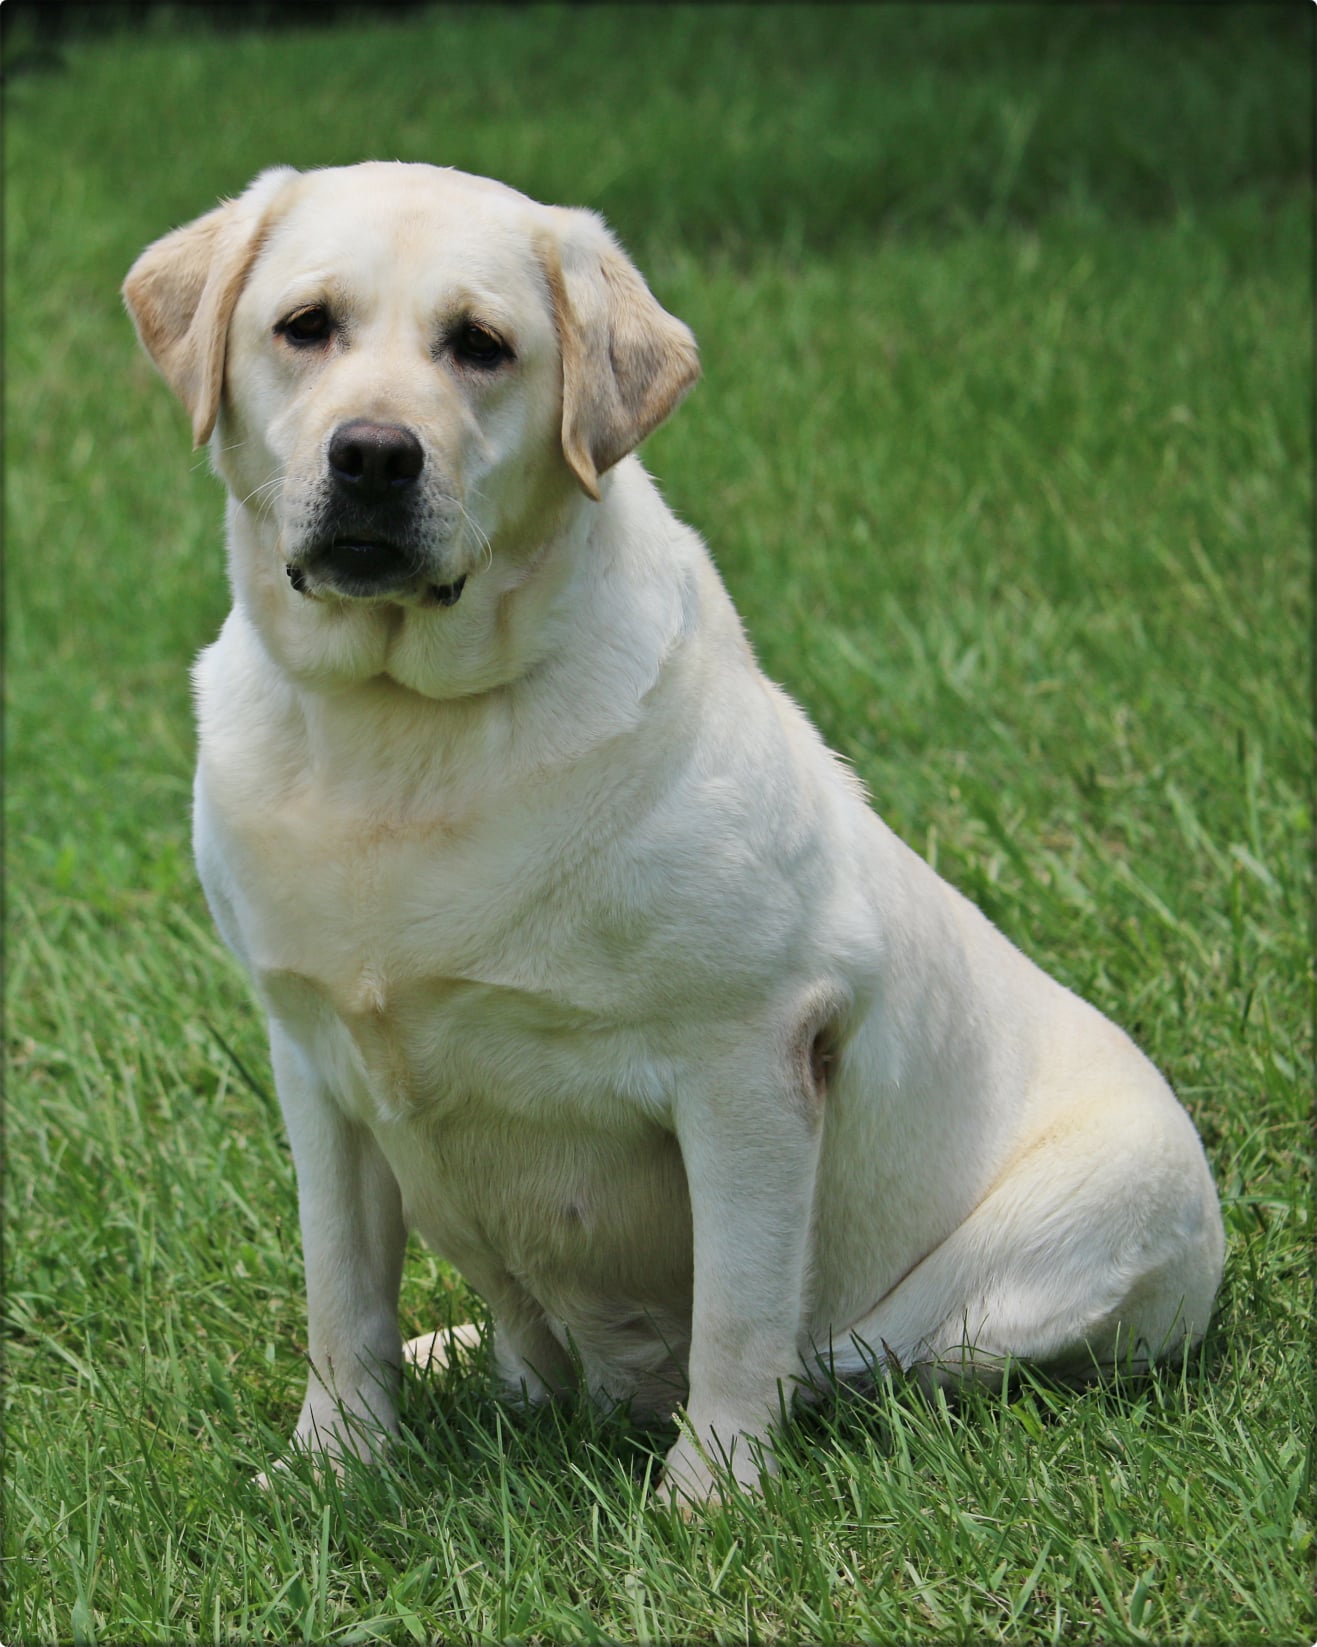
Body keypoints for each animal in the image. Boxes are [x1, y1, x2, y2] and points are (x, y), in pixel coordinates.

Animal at [123, 163, 1224, 1508]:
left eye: (480, 345)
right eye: (306, 326)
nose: (375, 454)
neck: (403, 731)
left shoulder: (750, 1055)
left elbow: (741, 1315)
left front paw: (714, 1495)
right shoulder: (313, 1057)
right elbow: (343, 1292)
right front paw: (338, 1463)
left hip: (1053, 1247)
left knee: (853, 1355)